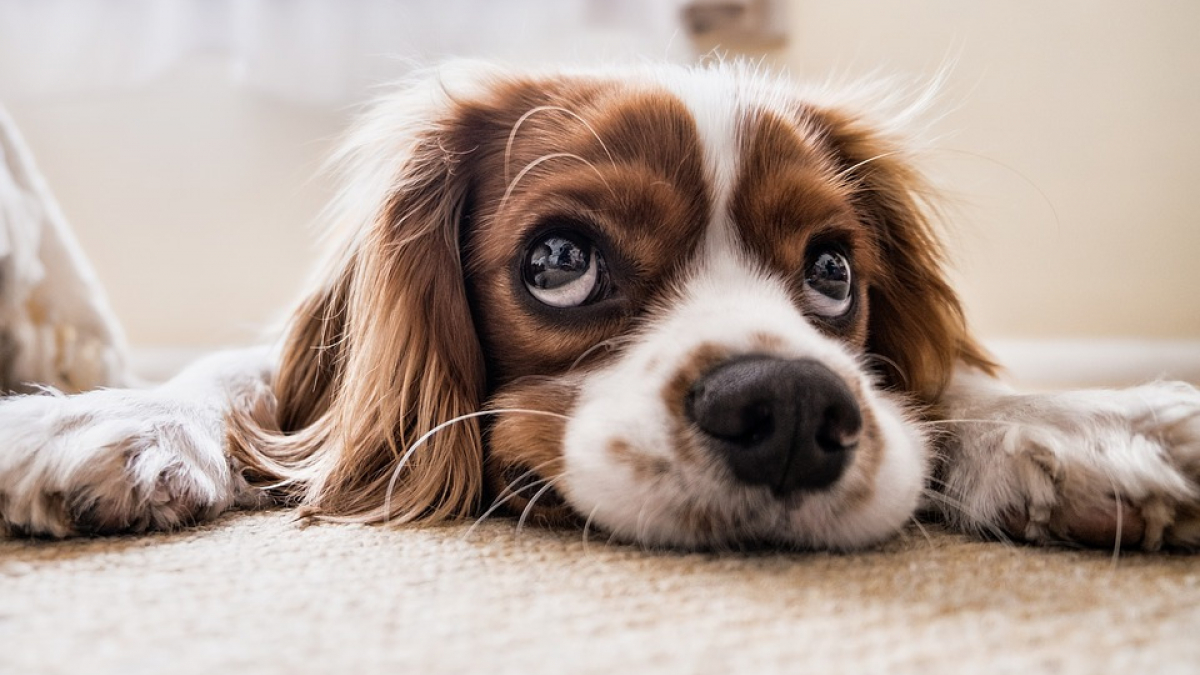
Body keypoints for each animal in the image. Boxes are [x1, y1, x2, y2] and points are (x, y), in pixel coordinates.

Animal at [2, 60, 1200, 550]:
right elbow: (240, 378)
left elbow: (950, 387)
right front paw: (106, 418)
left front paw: (1084, 425)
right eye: (560, 260)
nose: (791, 409)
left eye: (832, 272)